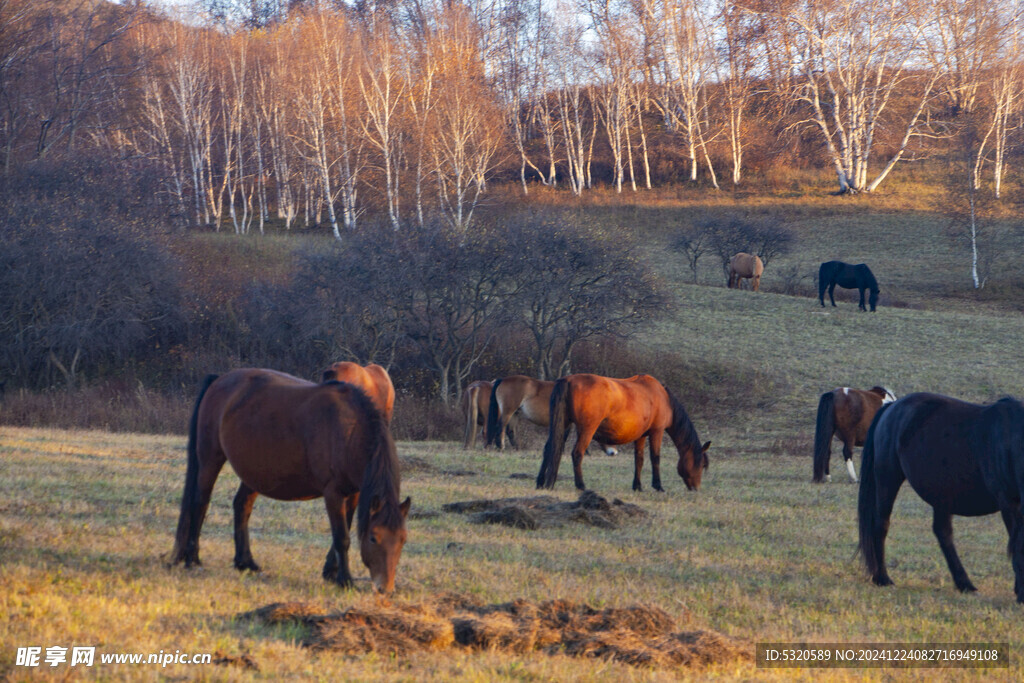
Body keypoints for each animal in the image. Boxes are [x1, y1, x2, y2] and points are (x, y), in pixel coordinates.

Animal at [169, 368, 409, 593]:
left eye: (403, 539)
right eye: (373, 538)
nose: (385, 589)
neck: (350, 430)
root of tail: (218, 380)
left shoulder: (354, 494)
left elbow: (345, 530)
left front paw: (331, 573)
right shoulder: (333, 494)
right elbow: (342, 538)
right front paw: (345, 580)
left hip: (255, 472)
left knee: (241, 506)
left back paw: (245, 562)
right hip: (210, 458)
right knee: (200, 503)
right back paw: (192, 558)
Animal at [485, 376, 618, 456]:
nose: (613, 452)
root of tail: (503, 379)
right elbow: (564, 436)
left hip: (515, 413)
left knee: (510, 431)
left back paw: (517, 448)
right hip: (508, 411)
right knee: (500, 427)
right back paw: (501, 447)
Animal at [536, 374, 712, 491]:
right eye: (702, 464)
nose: (696, 489)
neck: (663, 398)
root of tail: (567, 380)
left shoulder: (641, 436)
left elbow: (639, 459)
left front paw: (637, 486)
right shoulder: (657, 432)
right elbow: (655, 458)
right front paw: (658, 486)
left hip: (564, 425)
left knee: (550, 449)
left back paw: (541, 482)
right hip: (587, 430)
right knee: (577, 453)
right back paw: (581, 485)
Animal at [856, 393, 1024, 602]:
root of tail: (892, 407)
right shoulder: (1009, 503)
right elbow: (1018, 545)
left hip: (941, 495)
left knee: (943, 533)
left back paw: (964, 583)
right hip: (888, 478)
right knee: (881, 525)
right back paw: (882, 578)